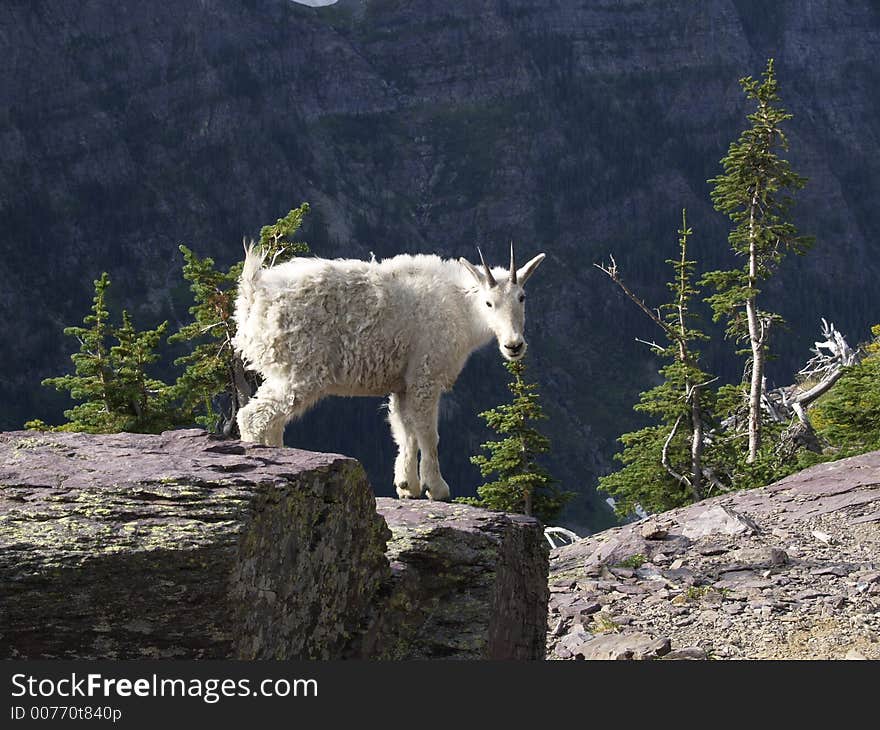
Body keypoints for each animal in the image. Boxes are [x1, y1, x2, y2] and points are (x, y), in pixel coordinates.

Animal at [232, 245, 544, 500]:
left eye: (522, 297)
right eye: (489, 303)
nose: (514, 345)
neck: (462, 308)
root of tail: (253, 293)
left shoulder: (402, 383)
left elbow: (405, 430)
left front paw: (407, 486)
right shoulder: (425, 374)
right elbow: (428, 433)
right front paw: (436, 488)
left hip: (283, 370)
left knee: (272, 420)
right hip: (302, 369)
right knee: (254, 415)